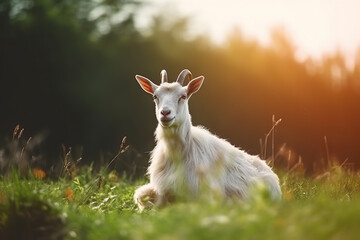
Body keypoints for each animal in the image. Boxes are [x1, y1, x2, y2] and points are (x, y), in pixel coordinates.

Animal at [134, 69, 282, 210]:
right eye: (155, 96)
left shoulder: (204, 195)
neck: (178, 153)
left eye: (183, 96)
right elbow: (140, 196)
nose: (165, 113)